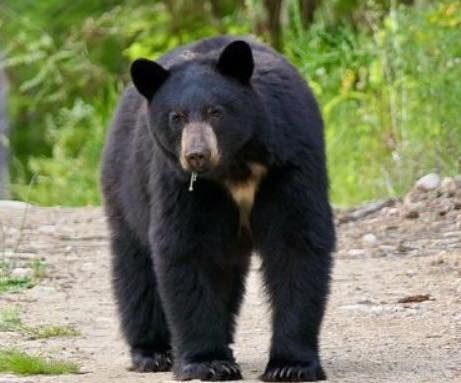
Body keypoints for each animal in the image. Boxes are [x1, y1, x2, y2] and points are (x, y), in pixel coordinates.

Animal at [102, 35, 334, 380]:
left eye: (216, 112)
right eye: (176, 116)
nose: (197, 154)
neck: (235, 165)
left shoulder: (289, 162)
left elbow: (297, 242)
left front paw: (290, 365)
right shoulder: (181, 183)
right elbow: (186, 248)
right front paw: (208, 362)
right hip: (126, 185)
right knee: (136, 268)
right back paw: (153, 352)